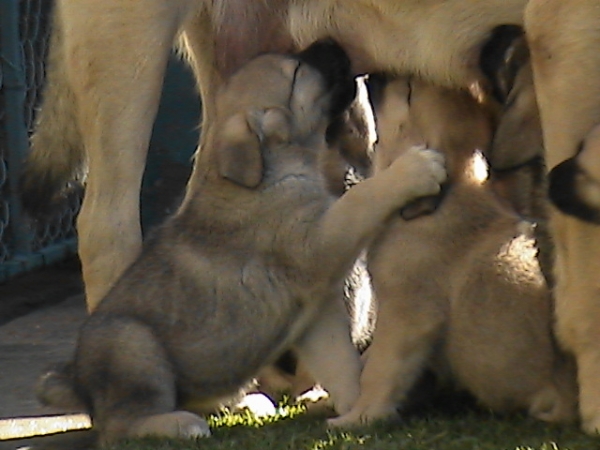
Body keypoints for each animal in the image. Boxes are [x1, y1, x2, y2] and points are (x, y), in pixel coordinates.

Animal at [34, 43, 446, 446]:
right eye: (296, 72)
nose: (335, 44)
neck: (272, 169)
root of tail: (78, 382)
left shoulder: (313, 314)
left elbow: (339, 361)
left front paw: (358, 407)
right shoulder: (320, 238)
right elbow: (363, 198)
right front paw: (414, 170)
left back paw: (246, 405)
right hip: (134, 346)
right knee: (122, 424)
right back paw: (178, 425)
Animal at [330, 75, 580, 428]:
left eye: (409, 90)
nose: (370, 76)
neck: (449, 198)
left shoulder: (406, 315)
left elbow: (379, 371)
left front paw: (359, 416)